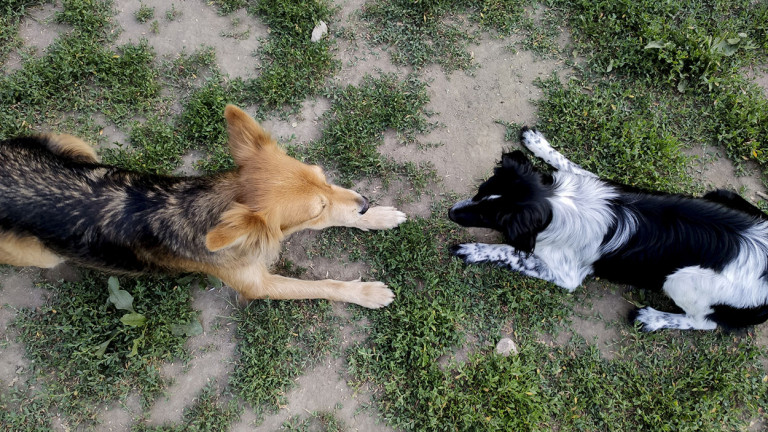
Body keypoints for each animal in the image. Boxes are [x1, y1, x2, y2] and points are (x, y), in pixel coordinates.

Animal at [0, 105, 402, 308]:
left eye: (323, 176)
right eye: (315, 209)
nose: (365, 202)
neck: (211, 206)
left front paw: (378, 216)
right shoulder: (258, 286)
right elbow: (324, 285)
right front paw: (366, 293)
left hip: (76, 146)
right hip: (42, 254)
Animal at [450, 127, 768, 330]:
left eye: (490, 217)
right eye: (479, 191)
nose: (451, 213)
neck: (560, 206)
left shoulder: (567, 275)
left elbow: (510, 253)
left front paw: (475, 250)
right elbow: (570, 164)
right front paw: (538, 142)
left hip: (681, 280)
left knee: (705, 323)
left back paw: (652, 319)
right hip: (722, 194)